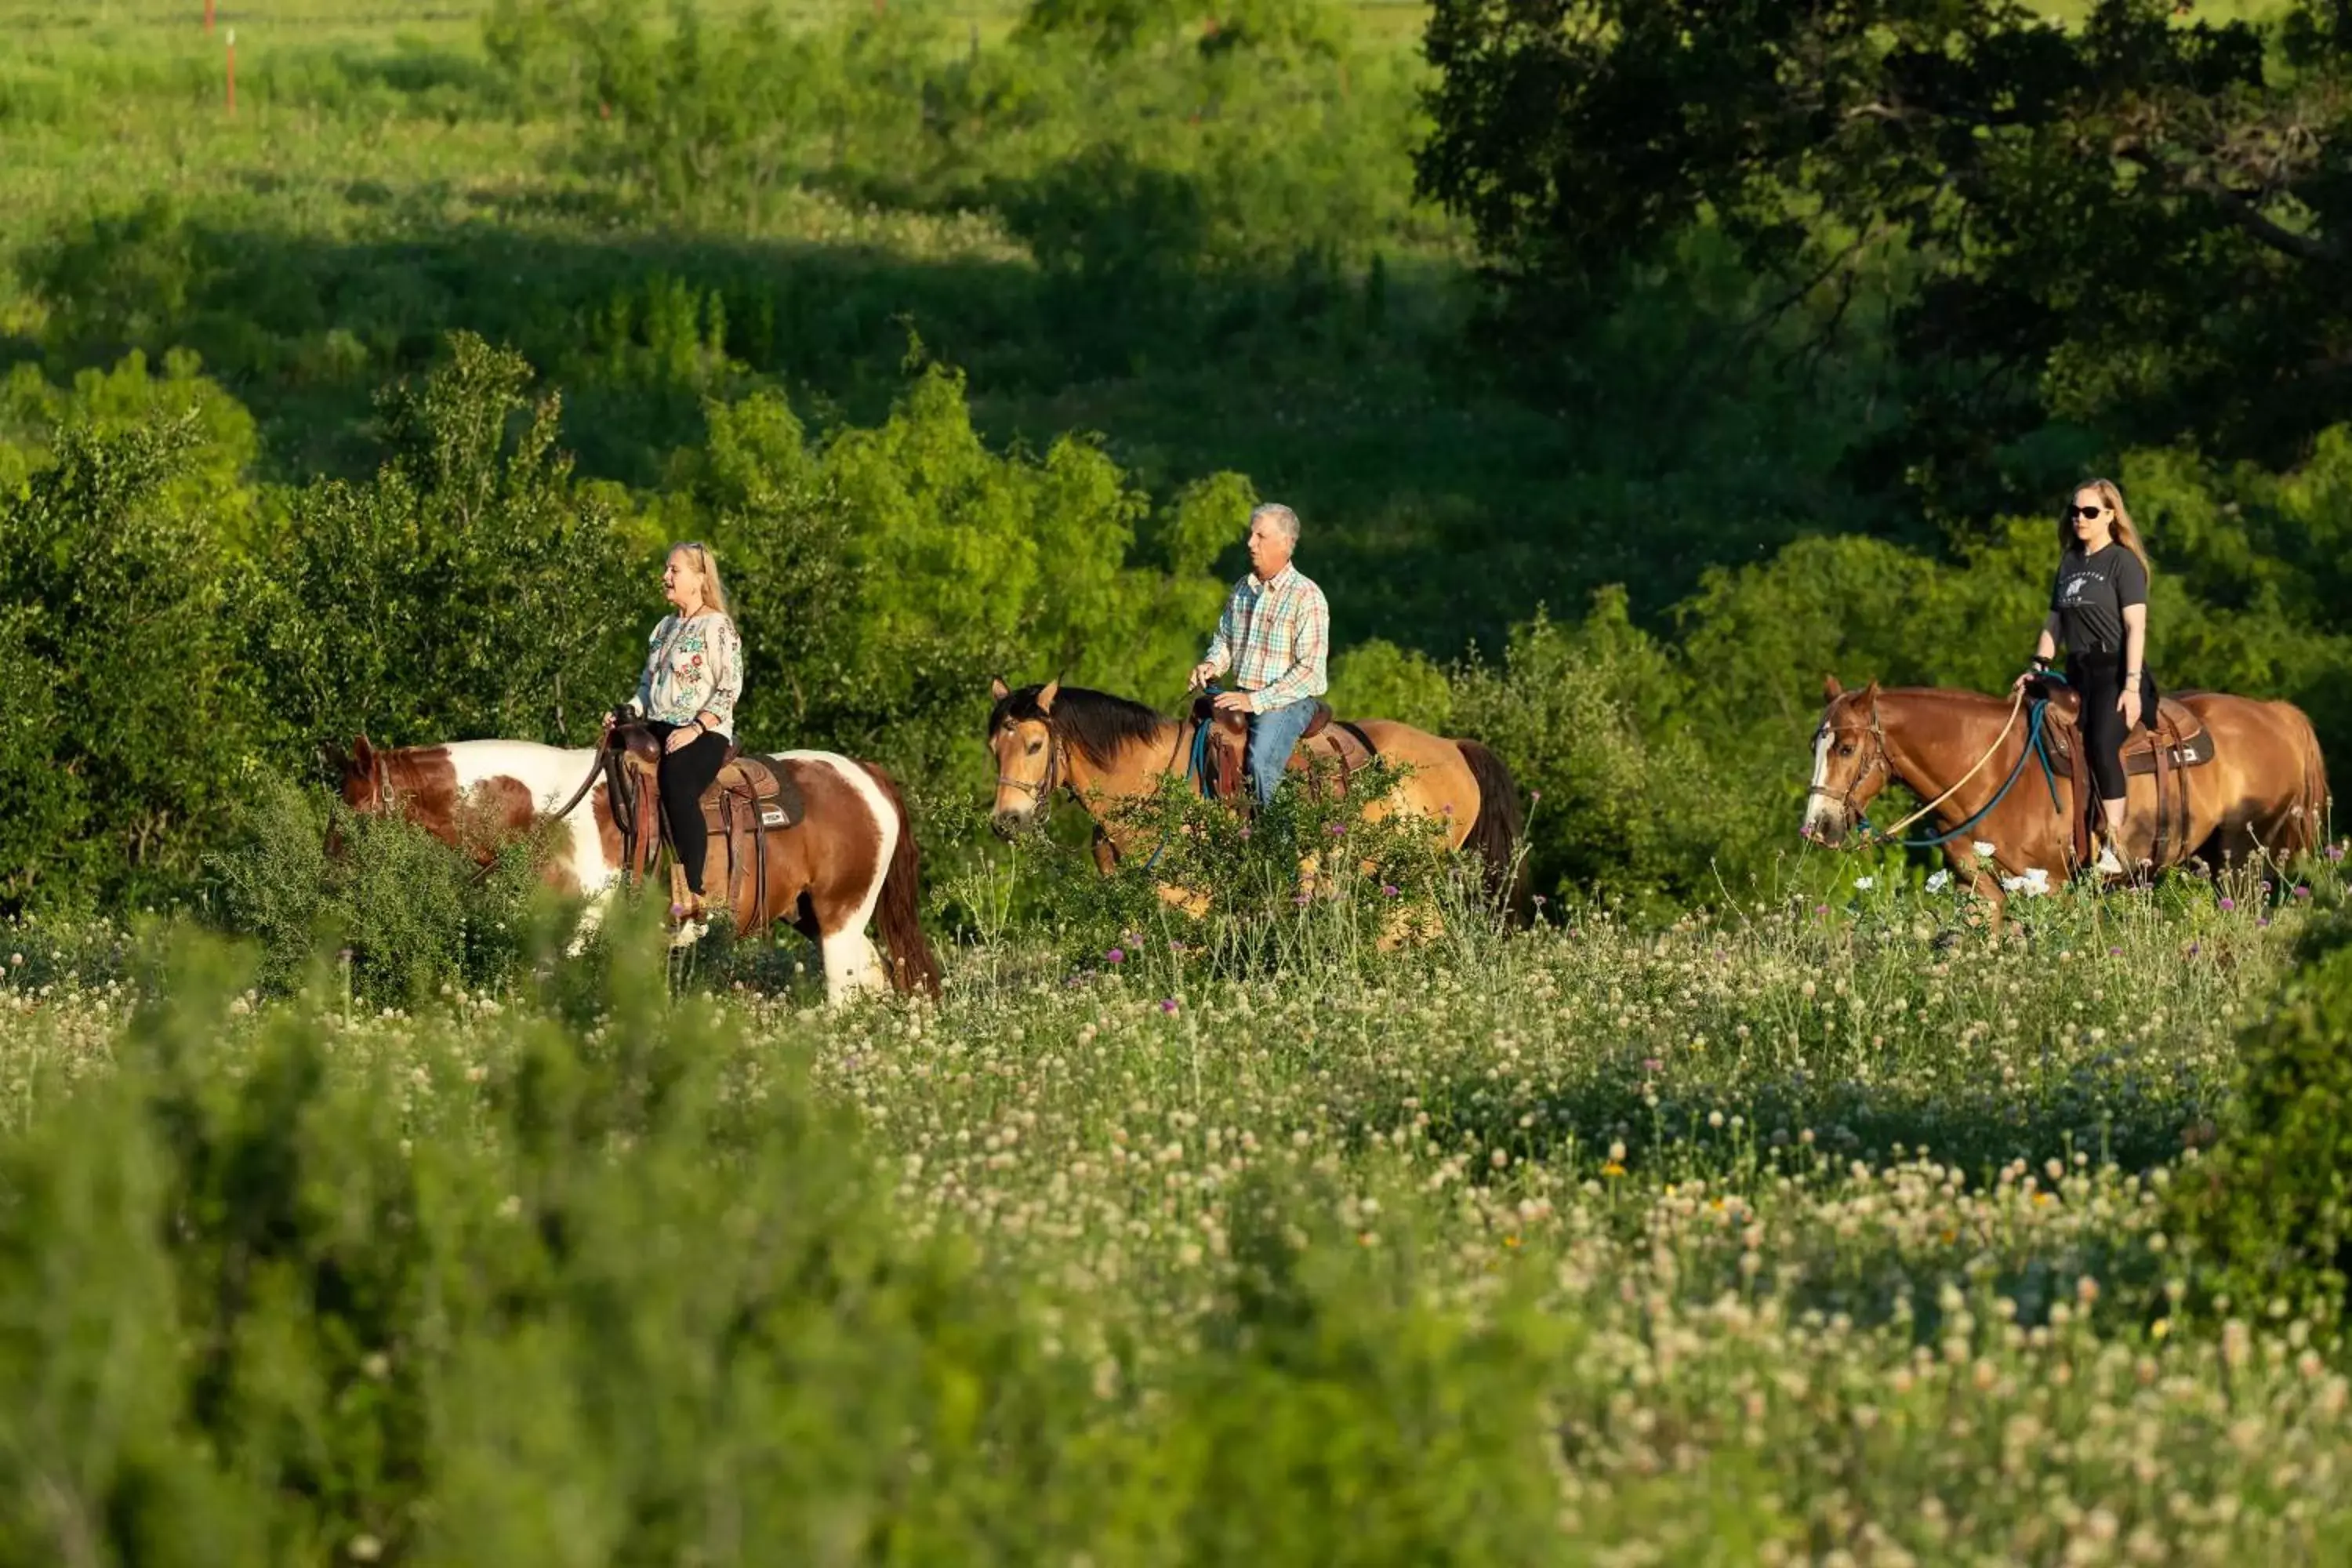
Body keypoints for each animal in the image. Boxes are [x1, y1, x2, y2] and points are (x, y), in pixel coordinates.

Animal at [332, 728, 936, 1001]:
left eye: (353, 814)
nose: (330, 879)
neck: (544, 814)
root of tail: (867, 774)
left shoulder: (577, 933)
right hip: (815, 917)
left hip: (840, 918)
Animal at [1797, 677, 2333, 921]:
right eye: (1815, 745)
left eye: (1846, 748)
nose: (1817, 826)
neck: (1991, 771)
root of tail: (2276, 714)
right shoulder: (1981, 890)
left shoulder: (2049, 887)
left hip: (2241, 860)